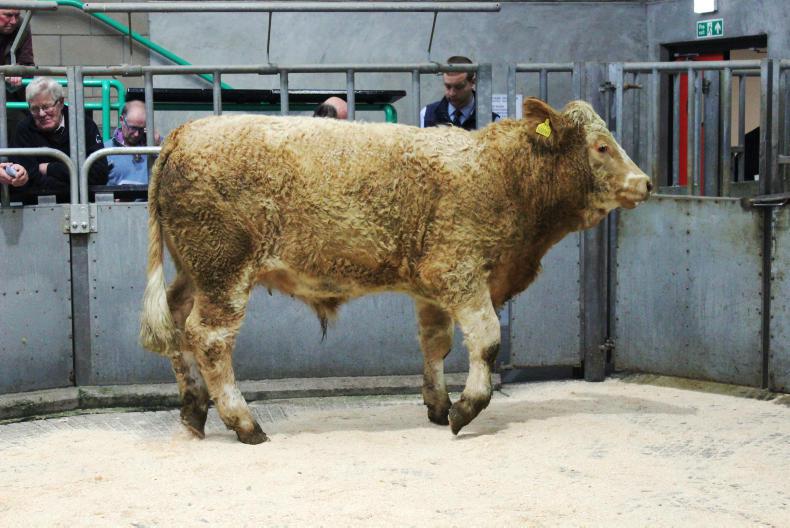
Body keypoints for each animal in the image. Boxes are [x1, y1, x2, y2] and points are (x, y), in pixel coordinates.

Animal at [140, 98, 651, 444]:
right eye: (601, 146)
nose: (645, 182)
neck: (499, 174)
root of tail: (184, 133)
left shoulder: (431, 288)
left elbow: (436, 344)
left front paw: (438, 404)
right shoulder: (461, 272)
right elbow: (486, 339)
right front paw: (466, 408)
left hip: (195, 272)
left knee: (177, 324)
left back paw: (193, 410)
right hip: (224, 271)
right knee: (209, 338)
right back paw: (244, 422)